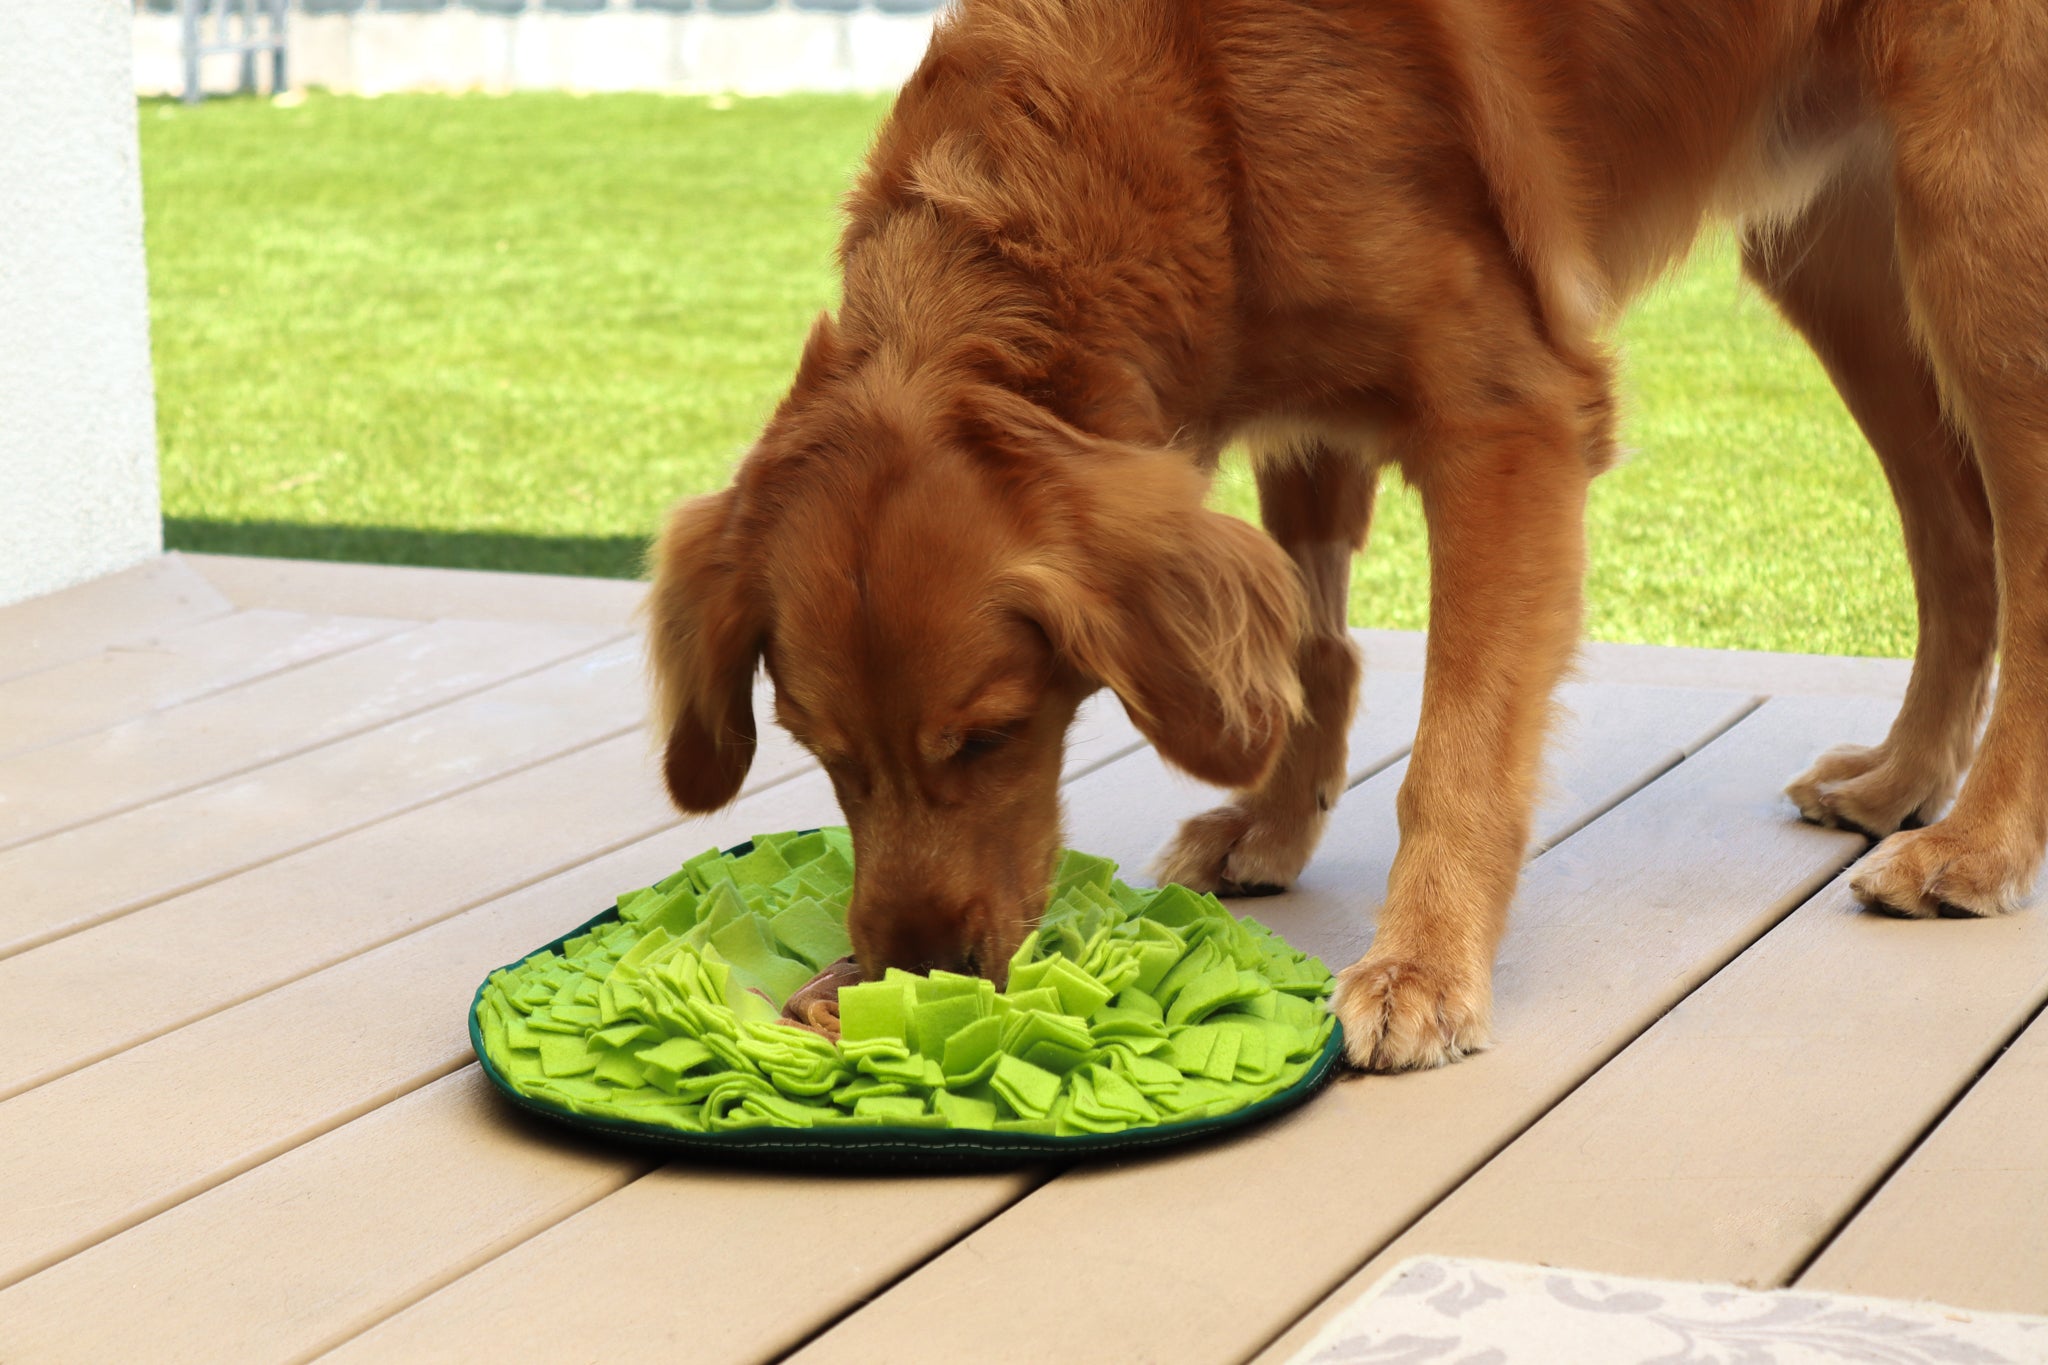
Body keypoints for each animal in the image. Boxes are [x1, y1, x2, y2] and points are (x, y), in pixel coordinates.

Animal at [651, 0, 2048, 1064]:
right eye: (820, 754)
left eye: (991, 736)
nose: (915, 970)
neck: (1182, 100)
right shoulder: (1301, 395)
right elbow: (1312, 645)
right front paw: (1273, 824)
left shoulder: (1506, 415)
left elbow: (1457, 747)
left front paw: (1421, 963)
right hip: (1833, 244)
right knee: (1953, 536)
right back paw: (1900, 781)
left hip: (1978, 225)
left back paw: (1973, 846)